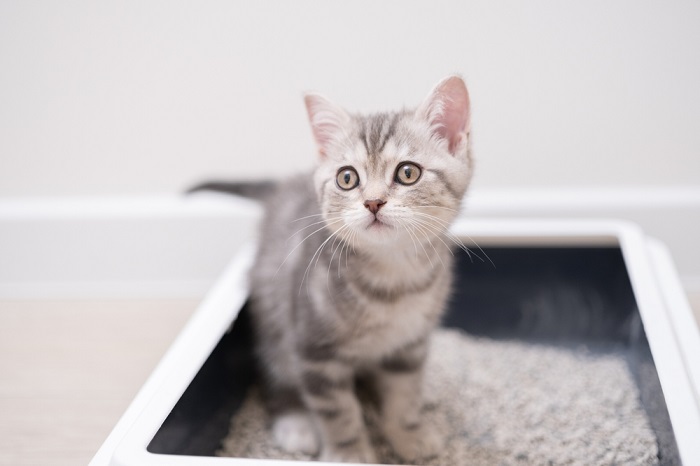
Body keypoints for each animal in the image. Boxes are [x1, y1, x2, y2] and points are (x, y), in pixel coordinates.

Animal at [194, 75, 474, 462]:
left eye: (408, 173)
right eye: (347, 178)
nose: (373, 202)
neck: (393, 281)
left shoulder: (410, 345)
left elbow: (403, 393)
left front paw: (408, 432)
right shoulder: (315, 350)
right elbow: (338, 411)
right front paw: (349, 453)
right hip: (274, 321)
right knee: (275, 378)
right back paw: (296, 423)